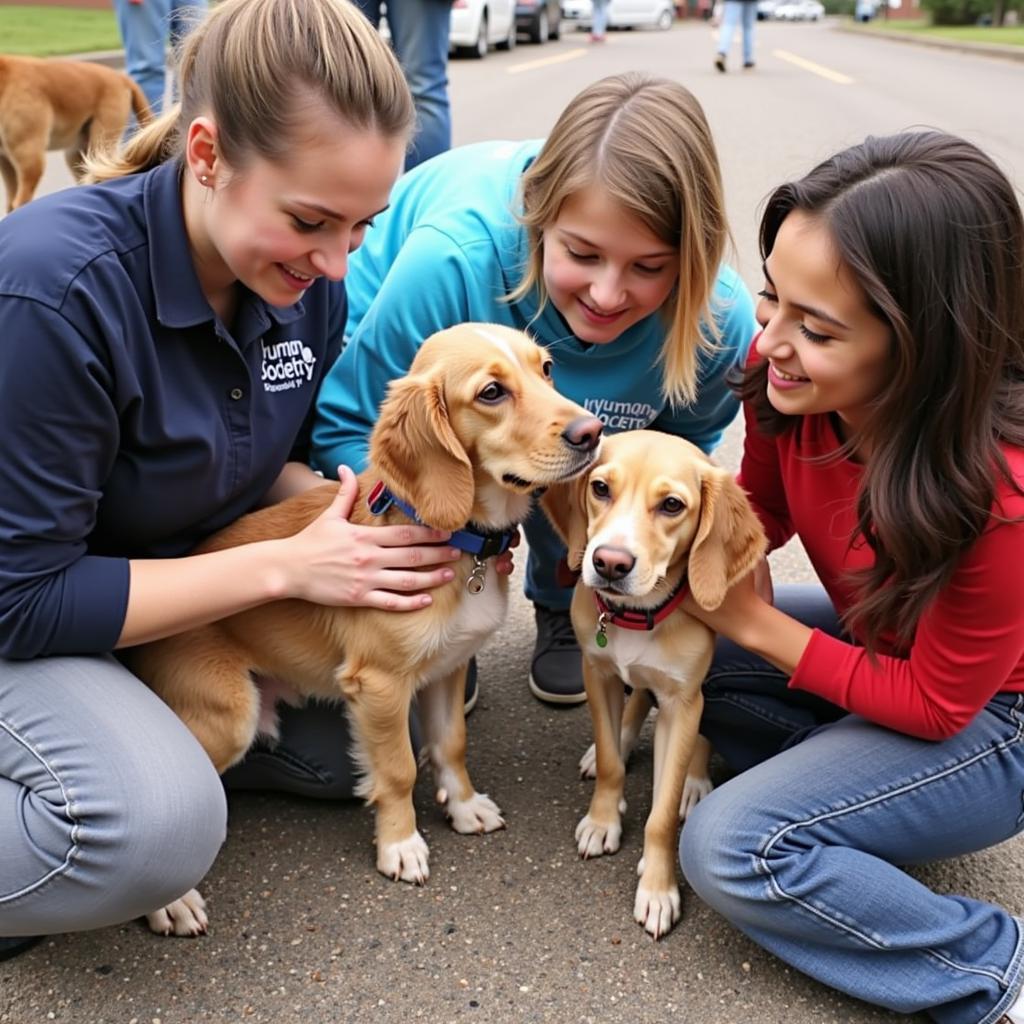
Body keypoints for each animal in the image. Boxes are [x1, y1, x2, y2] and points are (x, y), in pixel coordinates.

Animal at [0, 54, 150, 211]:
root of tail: (121, 77)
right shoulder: (5, 160)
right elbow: (11, 204)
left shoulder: (29, 155)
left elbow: (19, 203)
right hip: (76, 155)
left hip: (97, 147)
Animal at [131, 325, 602, 937]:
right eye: (492, 392)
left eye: (546, 369)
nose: (593, 432)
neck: (460, 542)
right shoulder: (380, 684)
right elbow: (399, 768)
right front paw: (400, 844)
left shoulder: (447, 668)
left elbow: (450, 743)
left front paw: (463, 805)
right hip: (227, 713)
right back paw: (171, 900)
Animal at [540, 428, 765, 937]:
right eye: (600, 488)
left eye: (672, 505)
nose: (609, 563)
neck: (636, 617)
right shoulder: (598, 674)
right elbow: (610, 763)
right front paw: (602, 819)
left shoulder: (683, 703)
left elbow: (661, 816)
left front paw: (658, 888)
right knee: (637, 698)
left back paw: (695, 781)